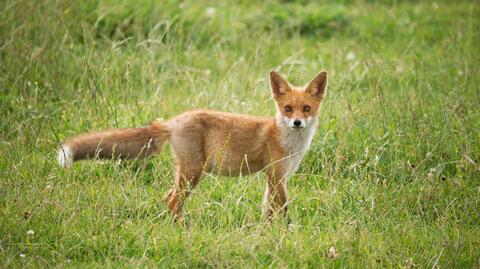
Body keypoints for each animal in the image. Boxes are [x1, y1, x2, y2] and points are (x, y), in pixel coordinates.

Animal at [55, 69, 326, 220]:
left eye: (306, 108)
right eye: (287, 108)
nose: (297, 123)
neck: (289, 142)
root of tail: (174, 120)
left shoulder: (275, 178)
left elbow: (268, 210)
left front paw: (267, 232)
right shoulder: (277, 177)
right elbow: (284, 210)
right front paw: (288, 232)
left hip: (187, 173)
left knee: (167, 198)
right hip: (193, 172)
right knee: (173, 201)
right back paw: (182, 229)